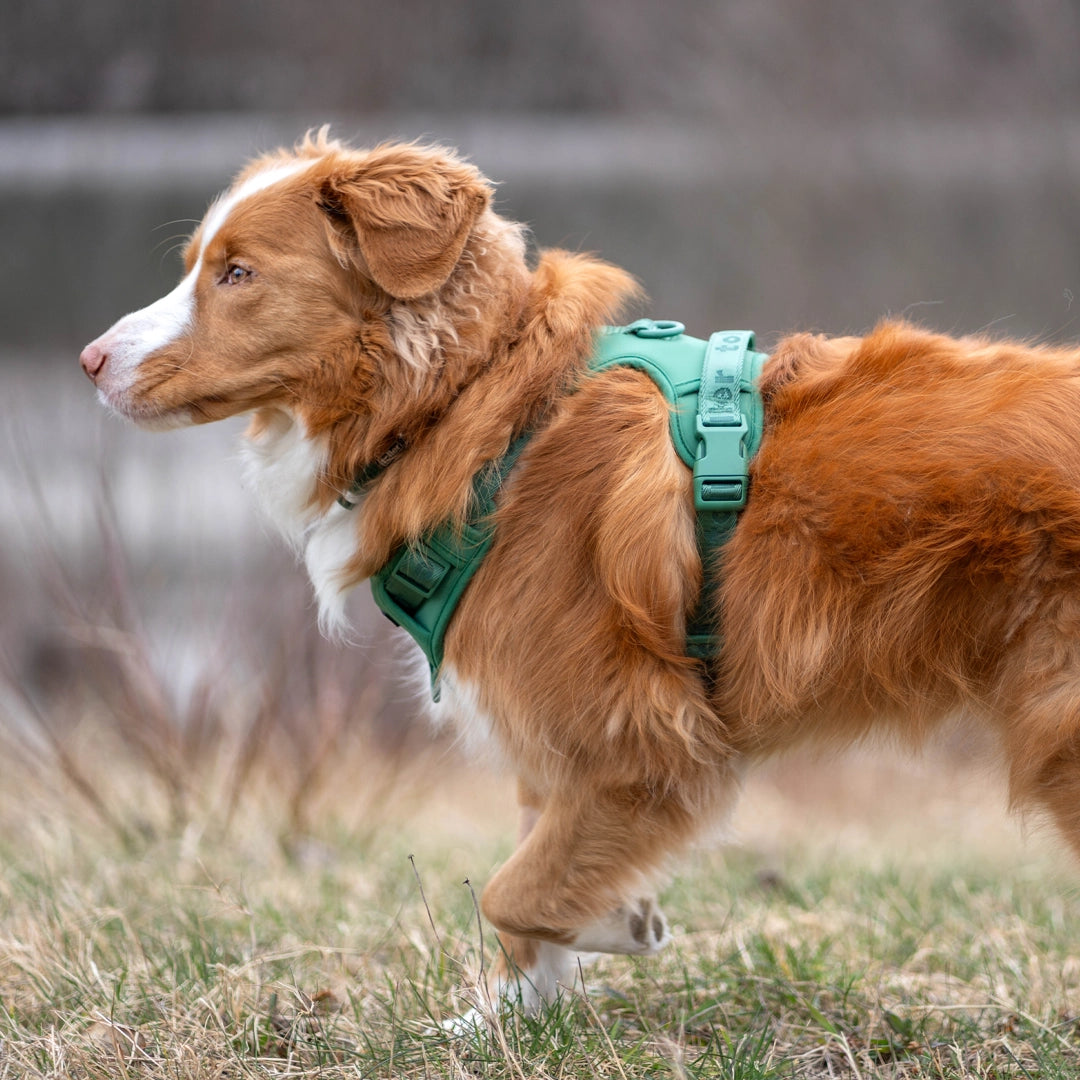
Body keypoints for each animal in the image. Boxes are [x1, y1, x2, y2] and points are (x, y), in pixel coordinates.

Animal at [79, 132, 1080, 1010]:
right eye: (198, 264)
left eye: (238, 275)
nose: (89, 360)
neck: (474, 402)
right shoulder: (554, 730)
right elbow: (528, 880)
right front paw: (517, 1015)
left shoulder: (640, 741)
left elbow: (508, 888)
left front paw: (616, 924)